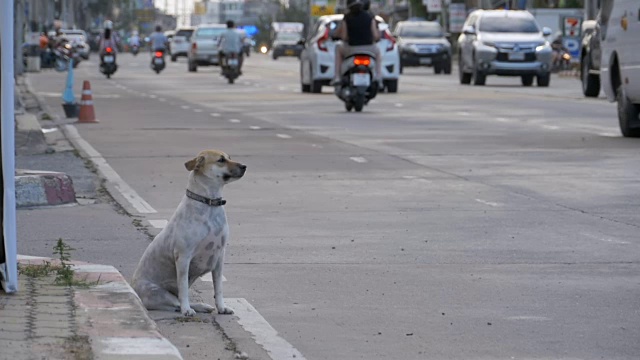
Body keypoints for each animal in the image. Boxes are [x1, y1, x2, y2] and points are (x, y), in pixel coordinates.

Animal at [132, 149, 245, 316]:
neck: (208, 204)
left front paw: (221, 307)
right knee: (177, 302)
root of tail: (134, 290)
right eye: (221, 160)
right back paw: (189, 308)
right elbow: (183, 288)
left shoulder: (219, 257)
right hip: (159, 293)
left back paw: (203, 306)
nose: (244, 166)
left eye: (229, 157)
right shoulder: (183, 257)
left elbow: (218, 288)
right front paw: (186, 310)